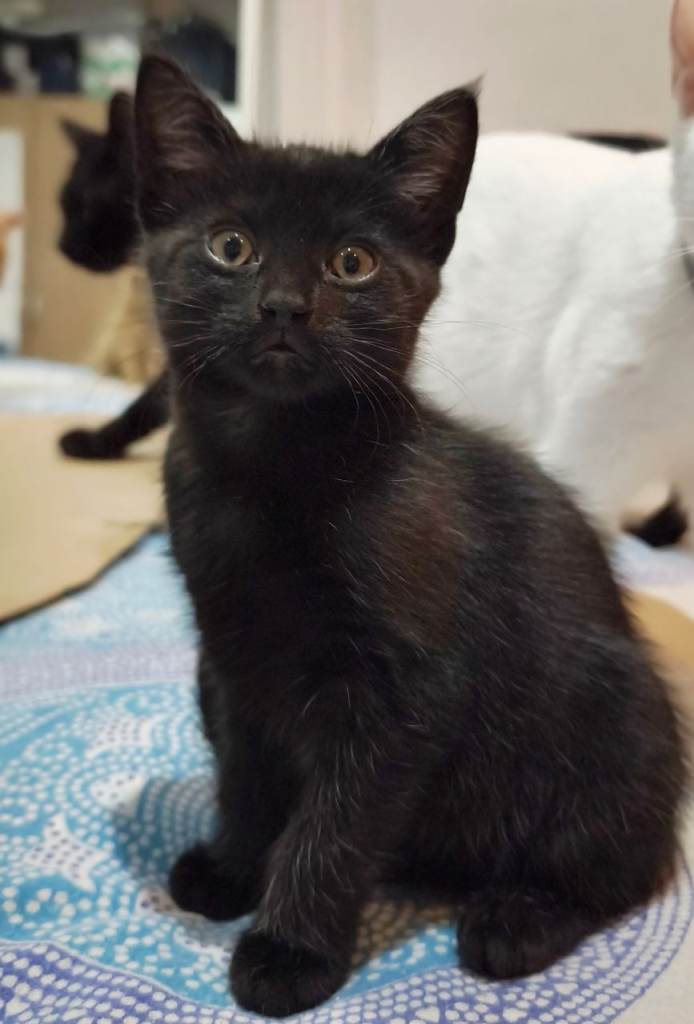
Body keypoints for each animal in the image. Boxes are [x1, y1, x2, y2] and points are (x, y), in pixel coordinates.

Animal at [128, 54, 684, 1017]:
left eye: (352, 263)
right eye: (230, 246)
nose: (285, 307)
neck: (271, 467)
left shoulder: (401, 690)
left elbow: (337, 821)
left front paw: (289, 949)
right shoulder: (228, 654)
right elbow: (246, 775)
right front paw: (233, 868)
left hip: (611, 708)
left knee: (623, 868)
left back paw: (518, 916)